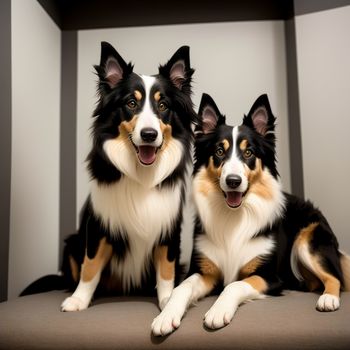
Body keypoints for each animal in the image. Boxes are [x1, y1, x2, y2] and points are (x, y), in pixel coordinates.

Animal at [20, 41, 197, 312]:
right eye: (131, 103)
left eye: (163, 105)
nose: (148, 135)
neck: (141, 172)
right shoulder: (99, 226)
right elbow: (90, 265)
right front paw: (78, 300)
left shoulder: (168, 228)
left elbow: (166, 269)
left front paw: (168, 300)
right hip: (71, 242)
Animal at [152, 93, 350, 336]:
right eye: (219, 151)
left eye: (249, 153)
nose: (233, 181)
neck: (234, 215)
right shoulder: (205, 272)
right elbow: (181, 288)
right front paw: (166, 315)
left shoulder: (271, 277)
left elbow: (234, 285)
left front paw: (218, 311)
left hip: (308, 241)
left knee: (335, 277)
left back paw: (328, 299)